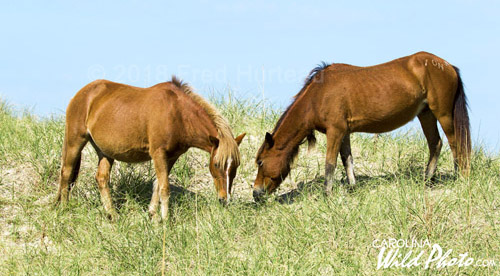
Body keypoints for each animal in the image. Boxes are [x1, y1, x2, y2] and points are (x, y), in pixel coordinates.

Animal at [54, 77, 246, 220]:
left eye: (235, 166)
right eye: (216, 165)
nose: (224, 199)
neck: (177, 113)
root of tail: (84, 92)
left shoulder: (171, 156)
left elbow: (157, 185)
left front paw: (153, 215)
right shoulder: (158, 153)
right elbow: (165, 187)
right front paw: (165, 220)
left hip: (105, 152)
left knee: (101, 178)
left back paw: (113, 215)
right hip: (75, 141)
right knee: (66, 173)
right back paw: (64, 208)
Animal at [256, 51, 470, 201]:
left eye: (260, 162)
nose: (256, 193)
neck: (318, 95)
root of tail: (448, 66)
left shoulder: (335, 131)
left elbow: (330, 163)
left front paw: (327, 194)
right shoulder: (344, 132)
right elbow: (347, 160)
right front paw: (352, 188)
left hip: (443, 114)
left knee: (455, 144)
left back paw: (460, 177)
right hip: (425, 114)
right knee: (435, 144)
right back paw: (427, 180)